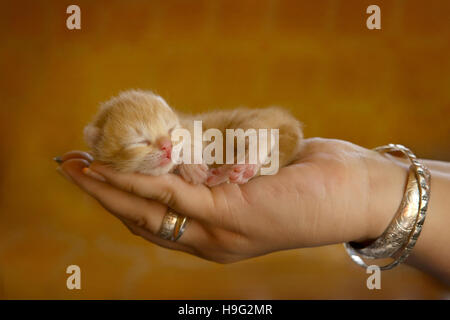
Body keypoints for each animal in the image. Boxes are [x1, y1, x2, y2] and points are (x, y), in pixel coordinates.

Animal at [84, 89, 302, 185]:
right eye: (139, 142)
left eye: (171, 130)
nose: (166, 146)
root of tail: (287, 118)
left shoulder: (191, 125)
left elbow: (192, 139)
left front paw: (192, 166)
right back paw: (223, 174)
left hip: (249, 124)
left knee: (264, 137)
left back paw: (246, 165)